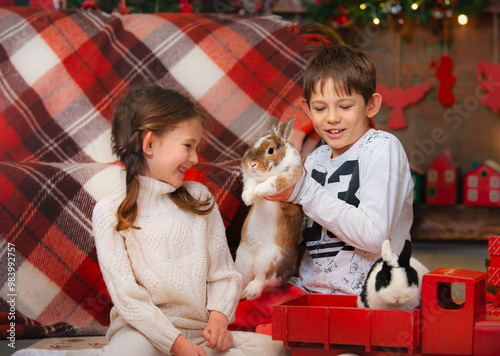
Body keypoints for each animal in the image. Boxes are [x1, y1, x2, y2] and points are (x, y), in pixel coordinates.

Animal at [235, 117, 304, 300]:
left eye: (270, 150)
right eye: (252, 144)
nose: (251, 164)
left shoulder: (289, 175)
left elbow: (272, 181)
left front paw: (259, 192)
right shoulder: (250, 178)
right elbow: (250, 184)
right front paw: (249, 198)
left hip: (271, 259)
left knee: (261, 280)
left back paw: (251, 292)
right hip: (242, 261)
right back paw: (241, 295)